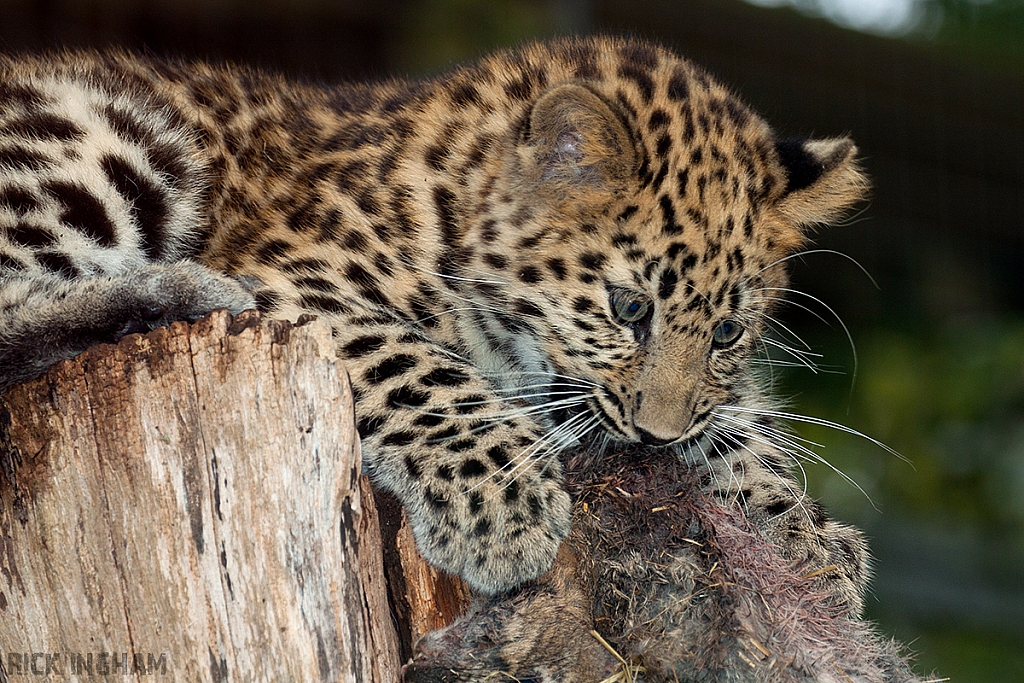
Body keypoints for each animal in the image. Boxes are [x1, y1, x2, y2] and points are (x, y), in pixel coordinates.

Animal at [0, 37, 872, 610]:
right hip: (106, 137)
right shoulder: (294, 281)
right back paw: (169, 290)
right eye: (630, 308)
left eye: (727, 332)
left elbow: (734, 418)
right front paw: (506, 504)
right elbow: (421, 369)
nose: (655, 436)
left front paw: (807, 539)